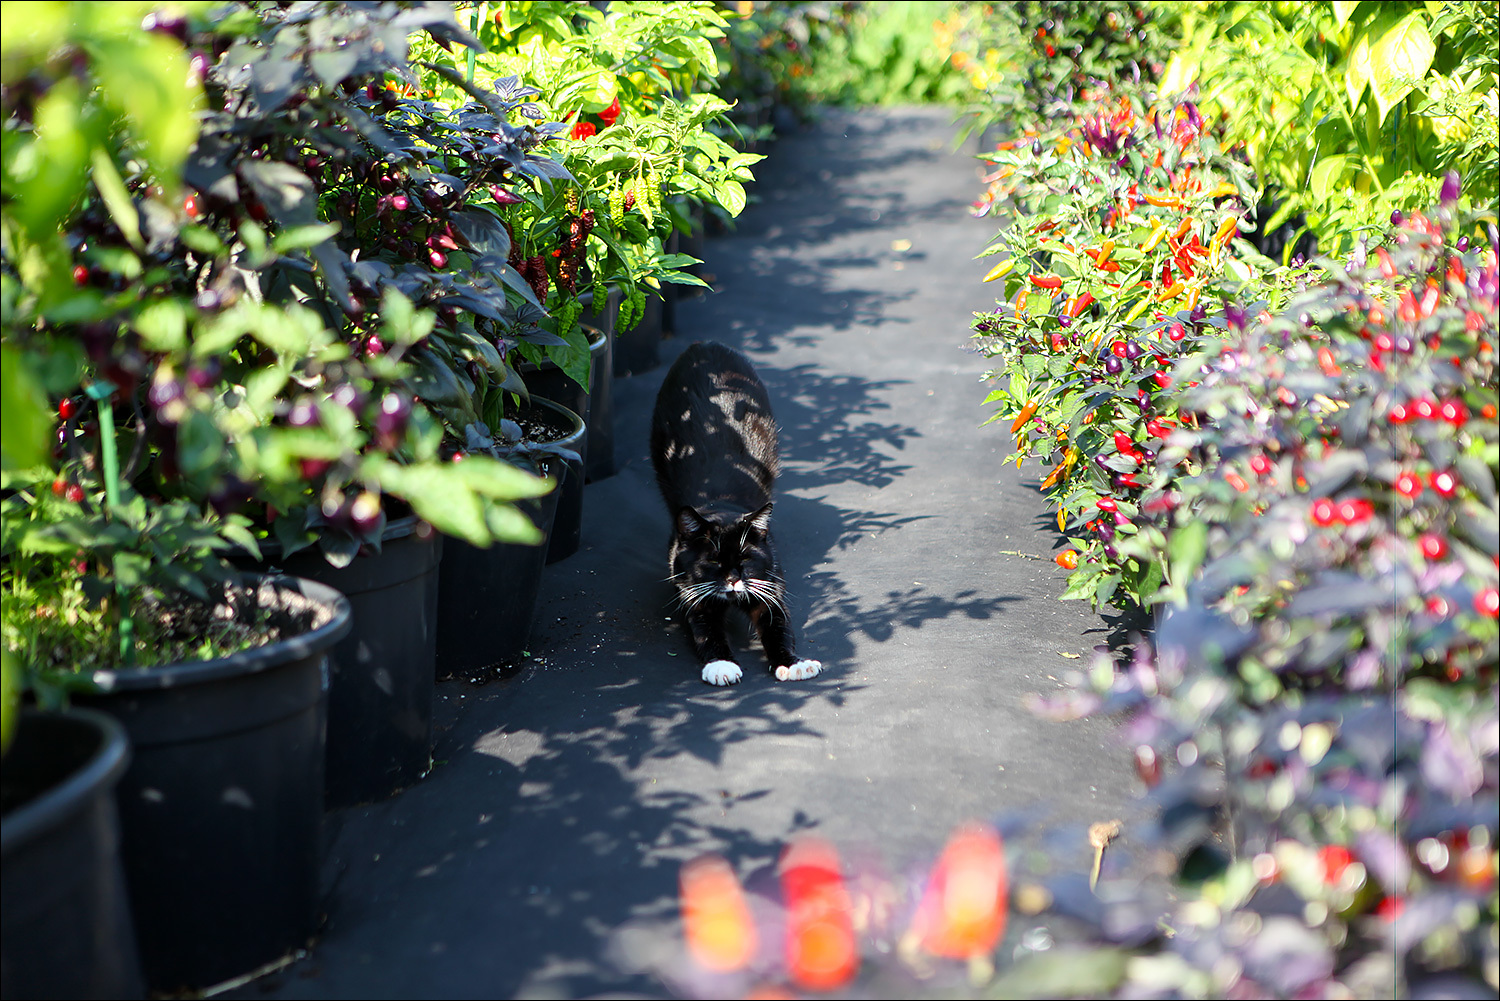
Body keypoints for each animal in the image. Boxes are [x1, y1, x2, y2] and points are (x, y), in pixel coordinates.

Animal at [654, 340, 828, 684]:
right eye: (712, 560)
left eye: (746, 558)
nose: (734, 578)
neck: (721, 502)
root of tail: (703, 345)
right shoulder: (689, 585)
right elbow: (705, 629)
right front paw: (721, 665)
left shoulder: (770, 579)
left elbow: (778, 625)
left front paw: (793, 663)